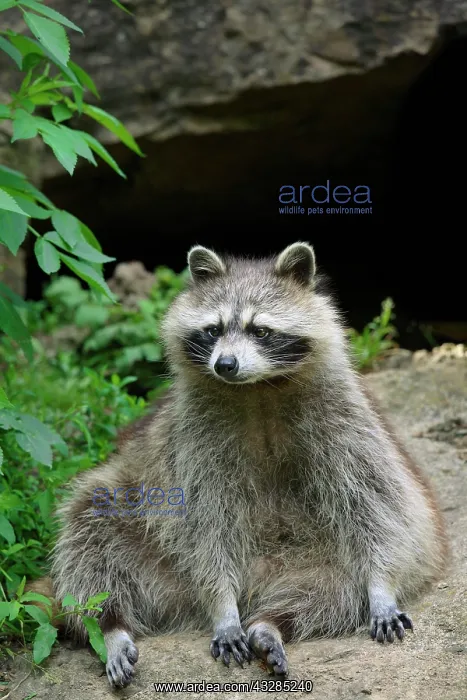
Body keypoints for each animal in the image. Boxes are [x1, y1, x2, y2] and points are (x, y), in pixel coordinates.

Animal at [46, 242, 447, 689]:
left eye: (261, 331)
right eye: (213, 330)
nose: (225, 365)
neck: (258, 389)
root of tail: (257, 586)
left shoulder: (347, 422)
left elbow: (377, 504)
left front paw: (382, 587)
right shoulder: (192, 442)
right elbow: (202, 524)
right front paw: (222, 606)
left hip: (316, 558)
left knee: (336, 589)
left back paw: (271, 624)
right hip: (142, 530)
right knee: (92, 524)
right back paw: (111, 625)